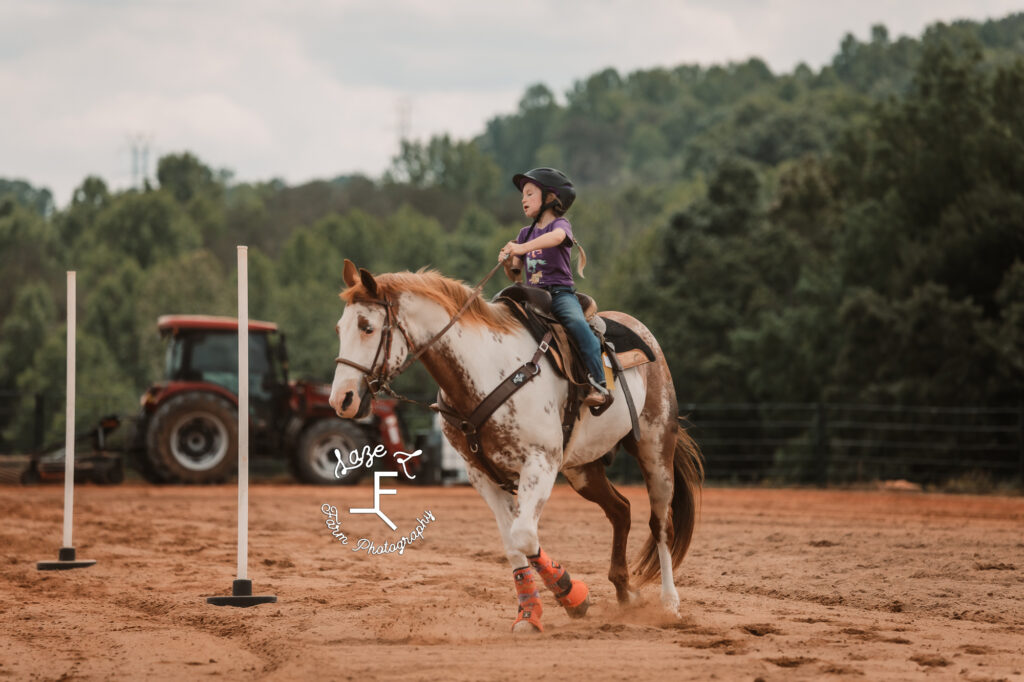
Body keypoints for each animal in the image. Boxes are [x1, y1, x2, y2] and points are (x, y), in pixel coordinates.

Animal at [331, 260, 700, 630]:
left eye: (367, 327)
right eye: (339, 328)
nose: (341, 400)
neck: (487, 369)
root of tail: (643, 334)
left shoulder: (540, 463)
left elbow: (524, 535)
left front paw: (572, 594)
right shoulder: (481, 474)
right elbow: (512, 545)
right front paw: (529, 613)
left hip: (655, 448)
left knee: (660, 524)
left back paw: (669, 604)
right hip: (582, 469)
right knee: (621, 510)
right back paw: (625, 592)